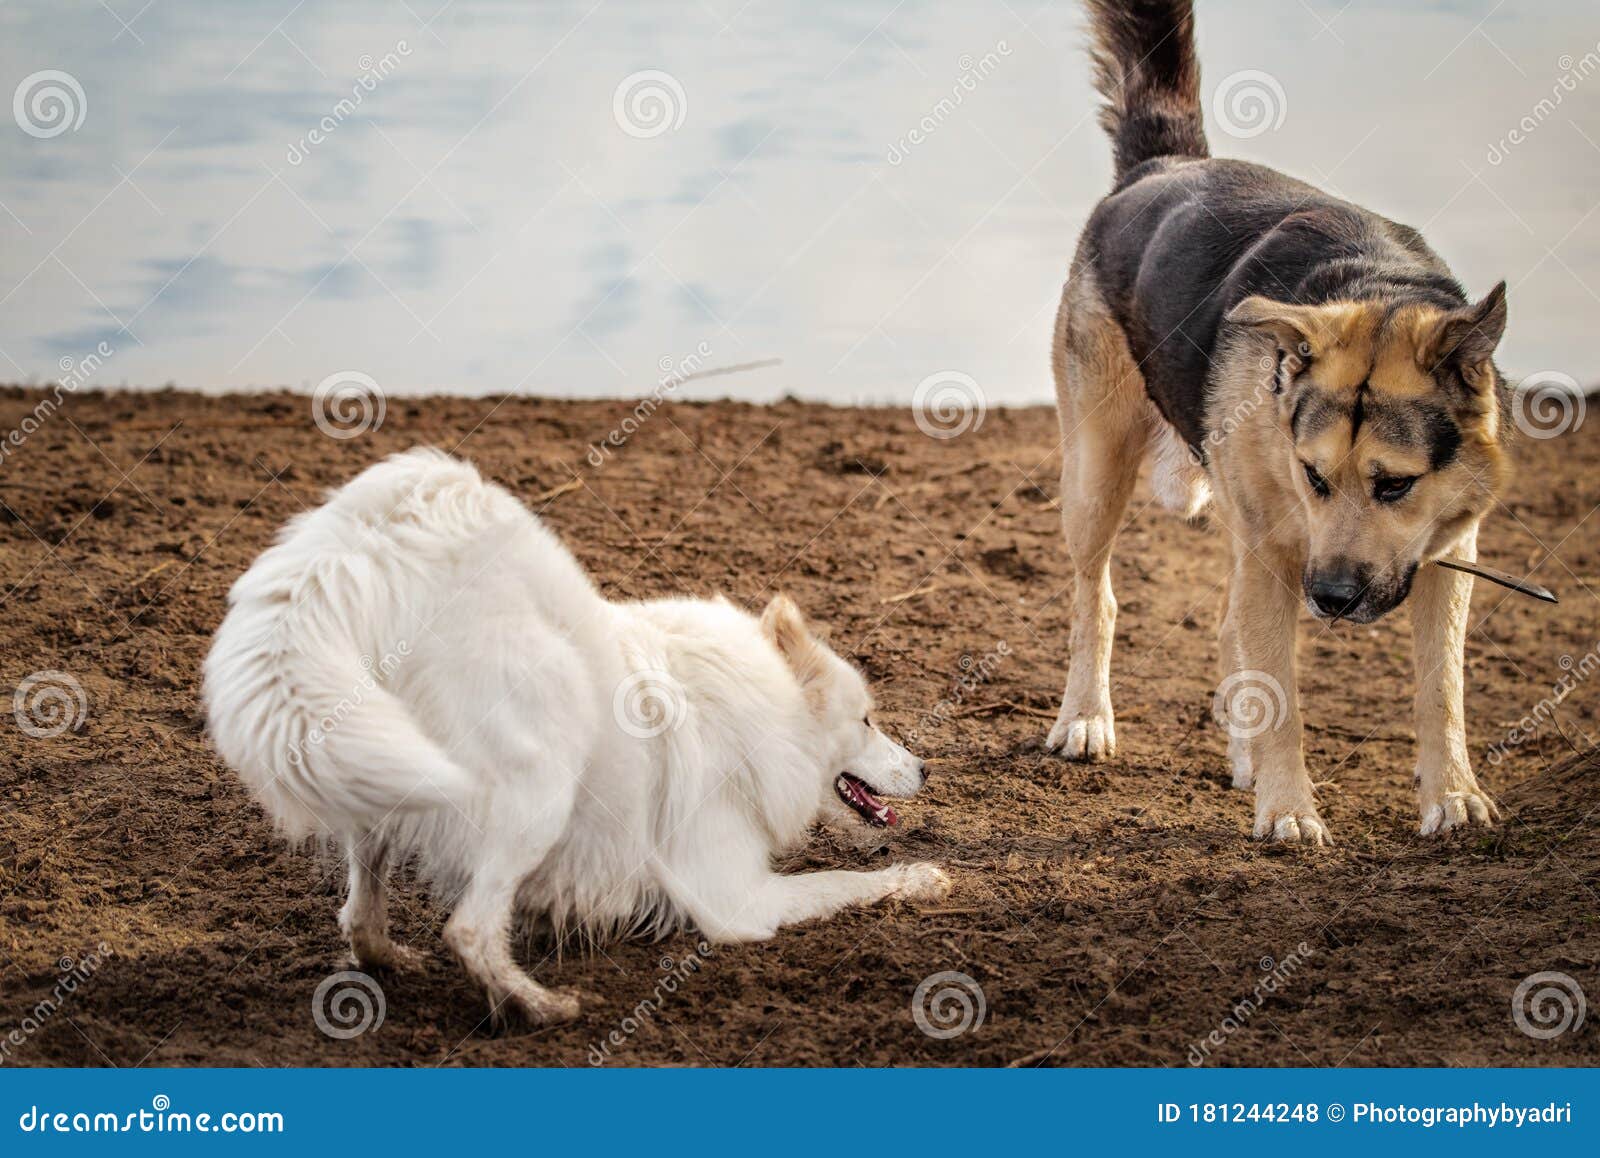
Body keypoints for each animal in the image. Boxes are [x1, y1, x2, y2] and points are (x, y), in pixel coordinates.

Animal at [203, 447, 947, 1023]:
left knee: (359, 916)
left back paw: (397, 959)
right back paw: (540, 1006)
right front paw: (922, 878)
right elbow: (848, 881)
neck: (763, 710)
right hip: (540, 785)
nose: (926, 769)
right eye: (867, 720)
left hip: (378, 769)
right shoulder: (739, 899)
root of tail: (372, 540)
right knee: (469, 930)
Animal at [1049, 0, 1510, 844]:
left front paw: (1454, 795)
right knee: (1098, 598)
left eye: (1395, 486)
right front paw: (1290, 809)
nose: (1328, 597)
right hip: (1097, 474)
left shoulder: (1446, 555)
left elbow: (1443, 691)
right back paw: (1087, 719)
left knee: (1228, 627)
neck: (1374, 283)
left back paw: (1242, 755)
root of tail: (1161, 167)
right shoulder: (1278, 552)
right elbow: (1283, 694)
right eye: (1314, 475)